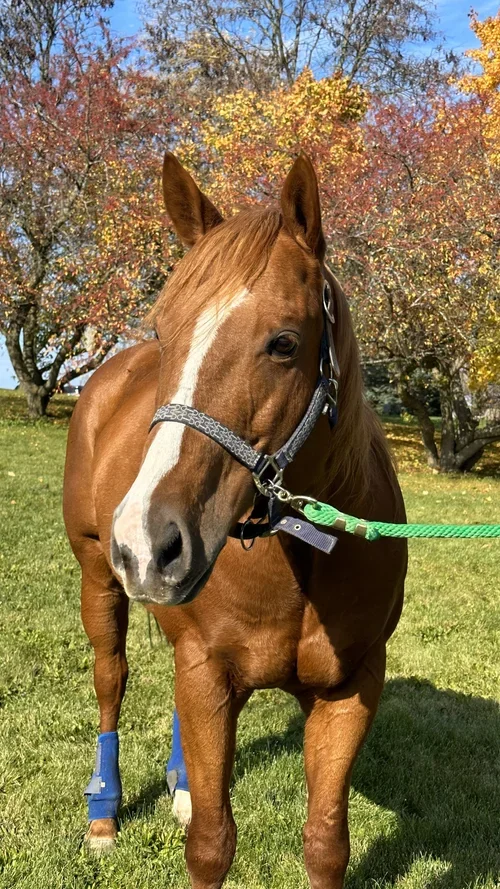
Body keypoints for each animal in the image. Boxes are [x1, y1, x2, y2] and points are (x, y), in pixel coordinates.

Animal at [63, 151, 407, 889]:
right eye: (164, 330)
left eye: (283, 343)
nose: (146, 541)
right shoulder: (207, 673)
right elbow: (212, 845)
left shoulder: (350, 689)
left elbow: (325, 843)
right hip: (98, 581)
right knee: (112, 678)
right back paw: (104, 813)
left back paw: (181, 784)